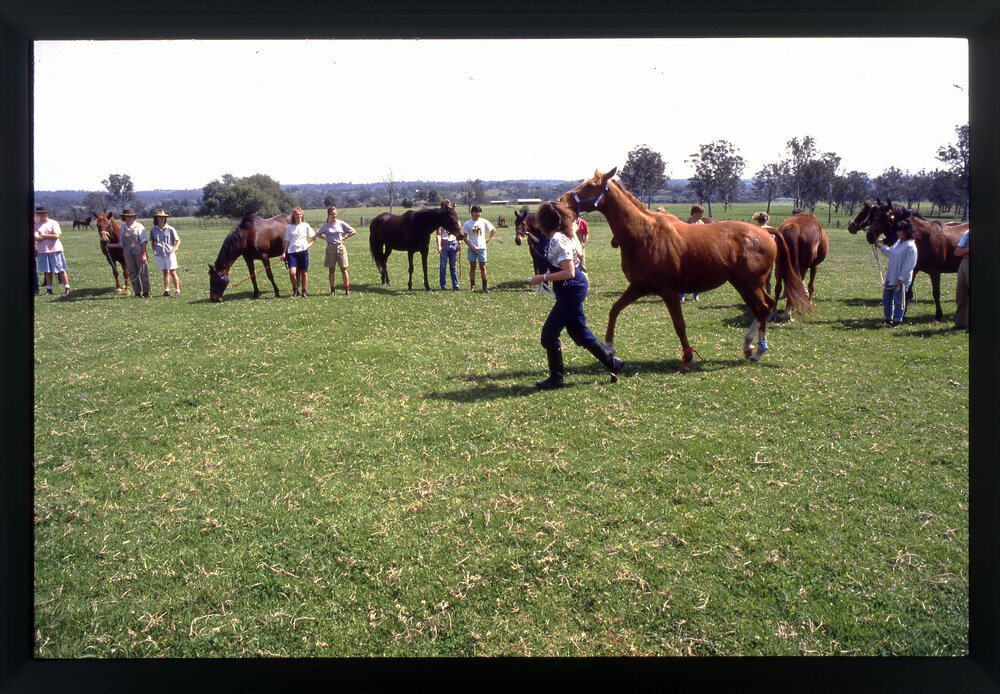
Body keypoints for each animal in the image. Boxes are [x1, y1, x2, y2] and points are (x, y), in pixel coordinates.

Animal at [558, 168, 812, 371]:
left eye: (590, 185)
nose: (561, 200)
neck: (646, 234)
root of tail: (766, 231)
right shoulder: (638, 287)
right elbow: (614, 310)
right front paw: (610, 347)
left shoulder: (669, 292)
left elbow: (679, 326)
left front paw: (687, 359)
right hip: (744, 284)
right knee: (764, 307)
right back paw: (753, 348)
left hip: (749, 284)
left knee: (763, 307)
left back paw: (756, 349)